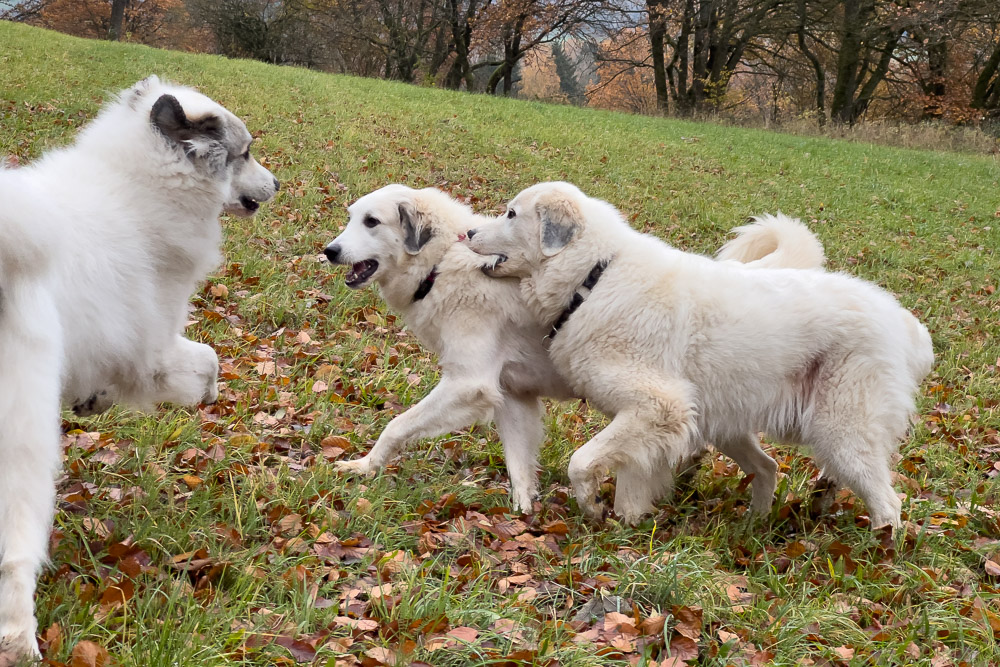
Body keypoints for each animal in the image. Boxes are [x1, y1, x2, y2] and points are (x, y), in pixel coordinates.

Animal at [0, 75, 278, 660]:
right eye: (245, 154)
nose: (279, 184)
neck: (139, 191)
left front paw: (93, 399)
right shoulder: (152, 349)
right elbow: (208, 361)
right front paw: (209, 394)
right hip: (22, 445)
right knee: (15, 554)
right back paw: (20, 639)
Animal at [464, 180, 932, 528]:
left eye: (510, 214)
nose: (466, 233)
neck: (594, 277)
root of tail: (904, 323)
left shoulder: (657, 406)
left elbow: (580, 463)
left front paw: (594, 508)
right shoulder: (649, 420)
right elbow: (631, 481)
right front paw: (627, 530)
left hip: (841, 431)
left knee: (887, 502)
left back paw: (878, 553)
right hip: (726, 419)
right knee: (768, 467)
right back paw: (755, 526)